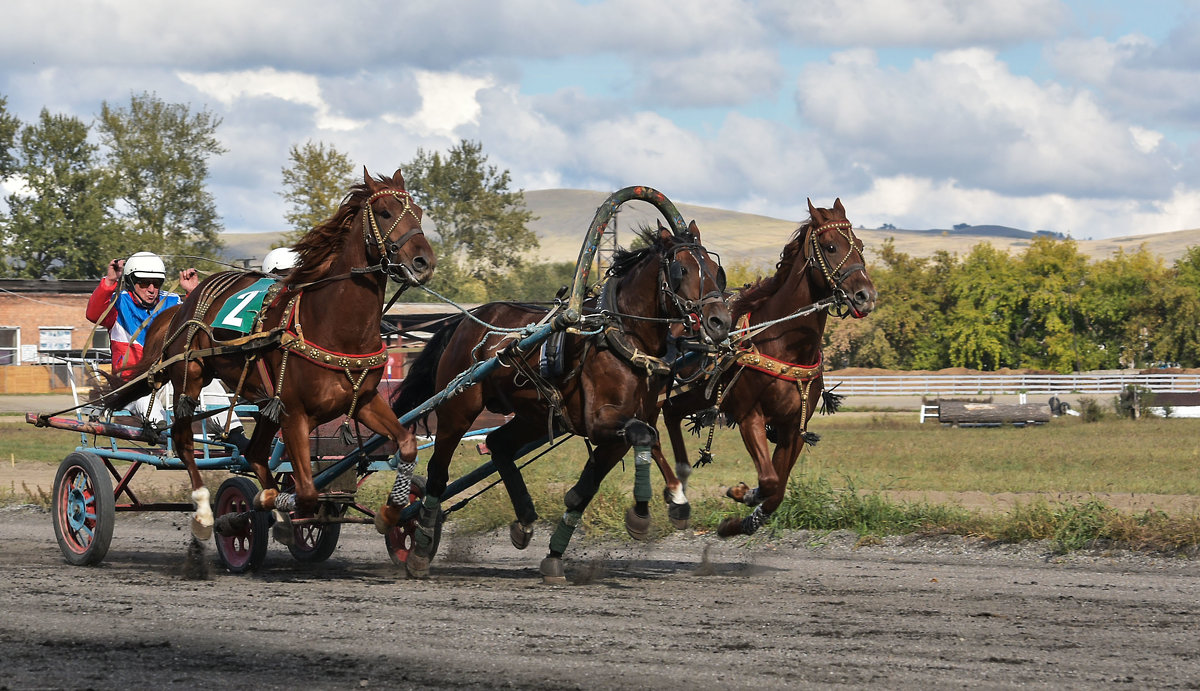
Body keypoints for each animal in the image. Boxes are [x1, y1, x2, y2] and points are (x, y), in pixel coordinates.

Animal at [98, 167, 434, 539]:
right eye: (385, 212)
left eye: (419, 213)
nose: (423, 262)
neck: (334, 327)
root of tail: (181, 306)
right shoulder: (295, 413)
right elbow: (306, 492)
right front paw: (264, 507)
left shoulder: (364, 401)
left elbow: (406, 444)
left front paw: (391, 512)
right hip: (191, 376)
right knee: (184, 441)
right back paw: (206, 511)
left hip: (263, 403)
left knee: (254, 453)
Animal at [388, 220, 729, 578]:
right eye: (682, 270)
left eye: (715, 270)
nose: (720, 322)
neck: (622, 337)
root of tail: (465, 321)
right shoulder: (599, 422)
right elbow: (644, 436)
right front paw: (644, 512)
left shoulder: (628, 423)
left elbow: (602, 476)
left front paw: (675, 500)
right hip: (458, 408)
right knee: (438, 473)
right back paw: (419, 546)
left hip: (534, 415)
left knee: (498, 443)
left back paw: (524, 519)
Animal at [643, 196, 878, 537]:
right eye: (831, 246)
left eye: (859, 244)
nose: (865, 295)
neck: (784, 344)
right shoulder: (749, 416)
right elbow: (768, 480)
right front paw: (742, 494)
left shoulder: (793, 426)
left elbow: (777, 488)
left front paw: (741, 520)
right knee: (650, 434)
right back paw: (675, 494)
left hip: (687, 397)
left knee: (672, 418)